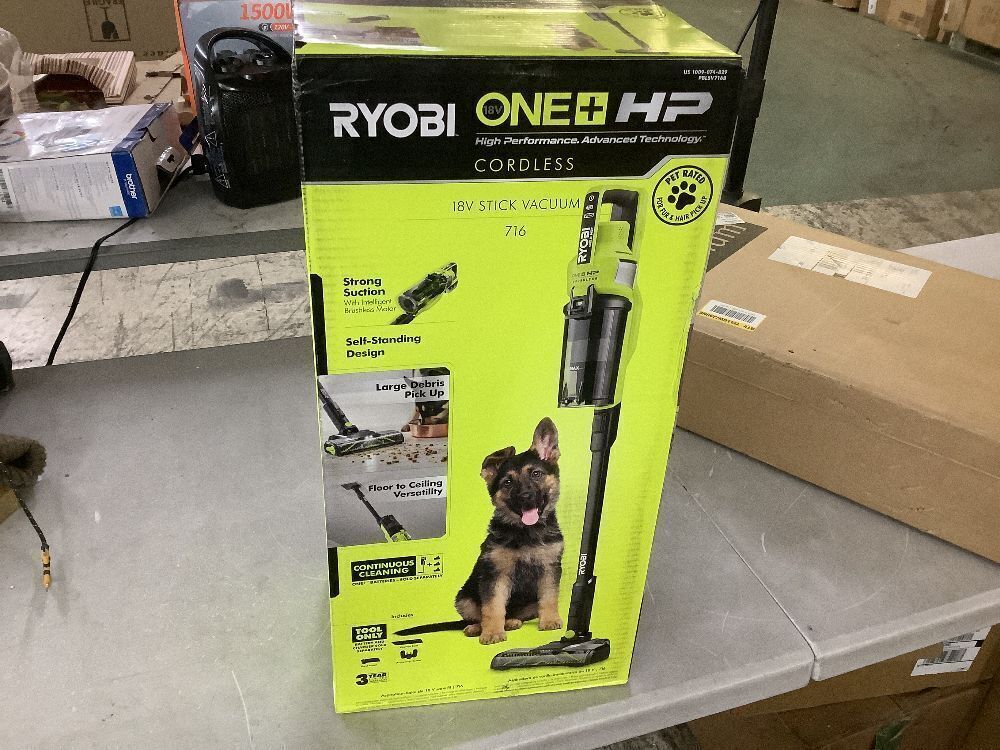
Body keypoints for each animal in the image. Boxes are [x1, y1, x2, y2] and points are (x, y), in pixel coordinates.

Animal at [454, 417, 564, 645]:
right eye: (507, 482)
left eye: (536, 474)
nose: (525, 496)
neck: (526, 533)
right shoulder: (495, 574)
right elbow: (492, 607)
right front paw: (492, 633)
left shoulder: (550, 569)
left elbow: (549, 597)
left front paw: (550, 621)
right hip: (463, 599)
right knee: (478, 615)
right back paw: (476, 628)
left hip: (530, 603)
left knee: (516, 613)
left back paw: (512, 621)